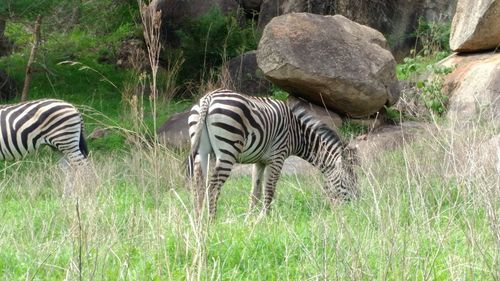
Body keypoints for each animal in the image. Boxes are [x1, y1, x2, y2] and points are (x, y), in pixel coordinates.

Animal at [187, 88, 356, 218]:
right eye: (348, 182)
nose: (356, 207)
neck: (297, 133)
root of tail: (209, 98)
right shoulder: (278, 157)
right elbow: (269, 189)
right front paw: (265, 218)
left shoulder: (259, 161)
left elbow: (255, 190)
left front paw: (250, 220)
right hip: (228, 150)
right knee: (213, 186)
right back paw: (211, 220)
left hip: (202, 151)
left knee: (198, 183)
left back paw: (197, 218)